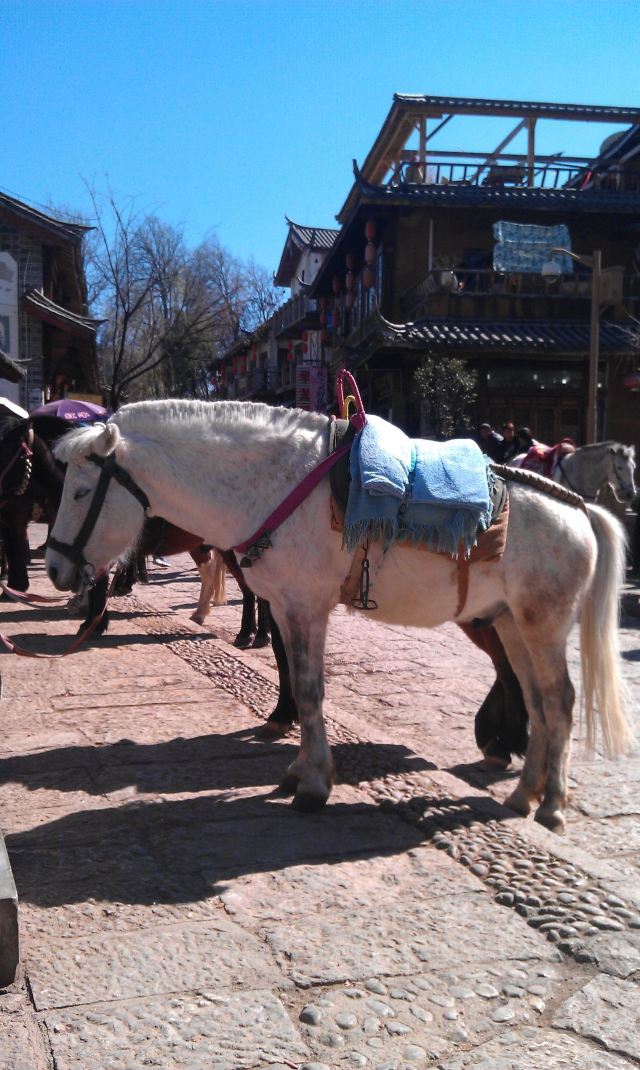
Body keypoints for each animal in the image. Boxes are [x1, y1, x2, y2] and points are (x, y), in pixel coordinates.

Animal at [45, 399, 634, 833]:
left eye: (80, 491)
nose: (54, 567)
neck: (278, 484)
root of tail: (580, 509)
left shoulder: (306, 609)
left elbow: (309, 691)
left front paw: (313, 786)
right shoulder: (285, 610)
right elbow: (298, 686)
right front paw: (300, 770)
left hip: (543, 625)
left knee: (559, 703)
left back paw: (552, 803)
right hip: (512, 623)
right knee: (537, 702)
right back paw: (523, 794)